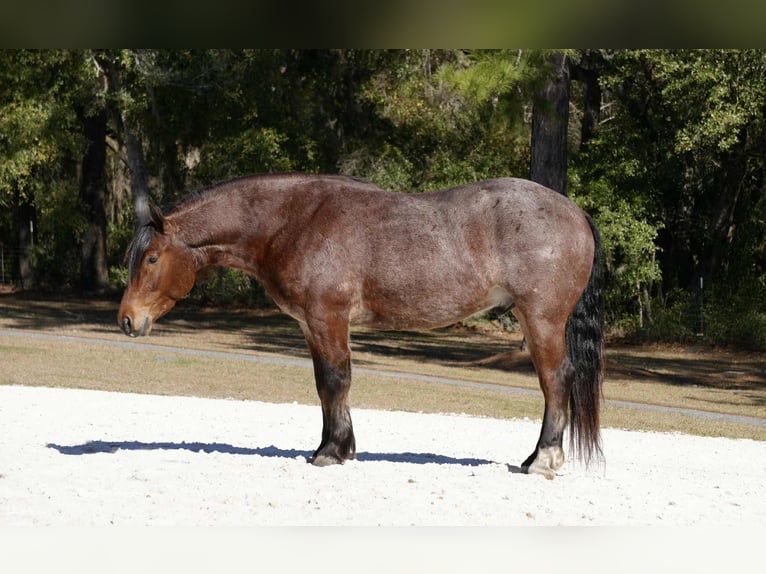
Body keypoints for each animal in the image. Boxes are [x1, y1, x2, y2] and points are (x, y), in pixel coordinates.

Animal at [117, 173, 604, 479]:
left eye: (152, 258)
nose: (127, 320)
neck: (295, 220)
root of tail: (575, 212)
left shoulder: (327, 317)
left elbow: (336, 381)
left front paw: (330, 452)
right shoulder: (312, 325)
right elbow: (325, 385)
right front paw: (336, 446)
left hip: (541, 319)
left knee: (556, 380)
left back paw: (543, 460)